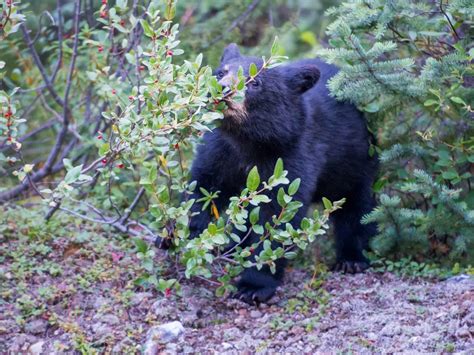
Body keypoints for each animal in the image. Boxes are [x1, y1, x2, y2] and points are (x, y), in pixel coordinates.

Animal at [187, 43, 376, 304]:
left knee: (357, 205)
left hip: (354, 160)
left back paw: (352, 259)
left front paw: (253, 286)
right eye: (220, 72)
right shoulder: (220, 148)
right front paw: (183, 233)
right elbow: (205, 184)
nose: (221, 89)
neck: (250, 141)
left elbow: (278, 214)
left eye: (255, 82)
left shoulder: (292, 153)